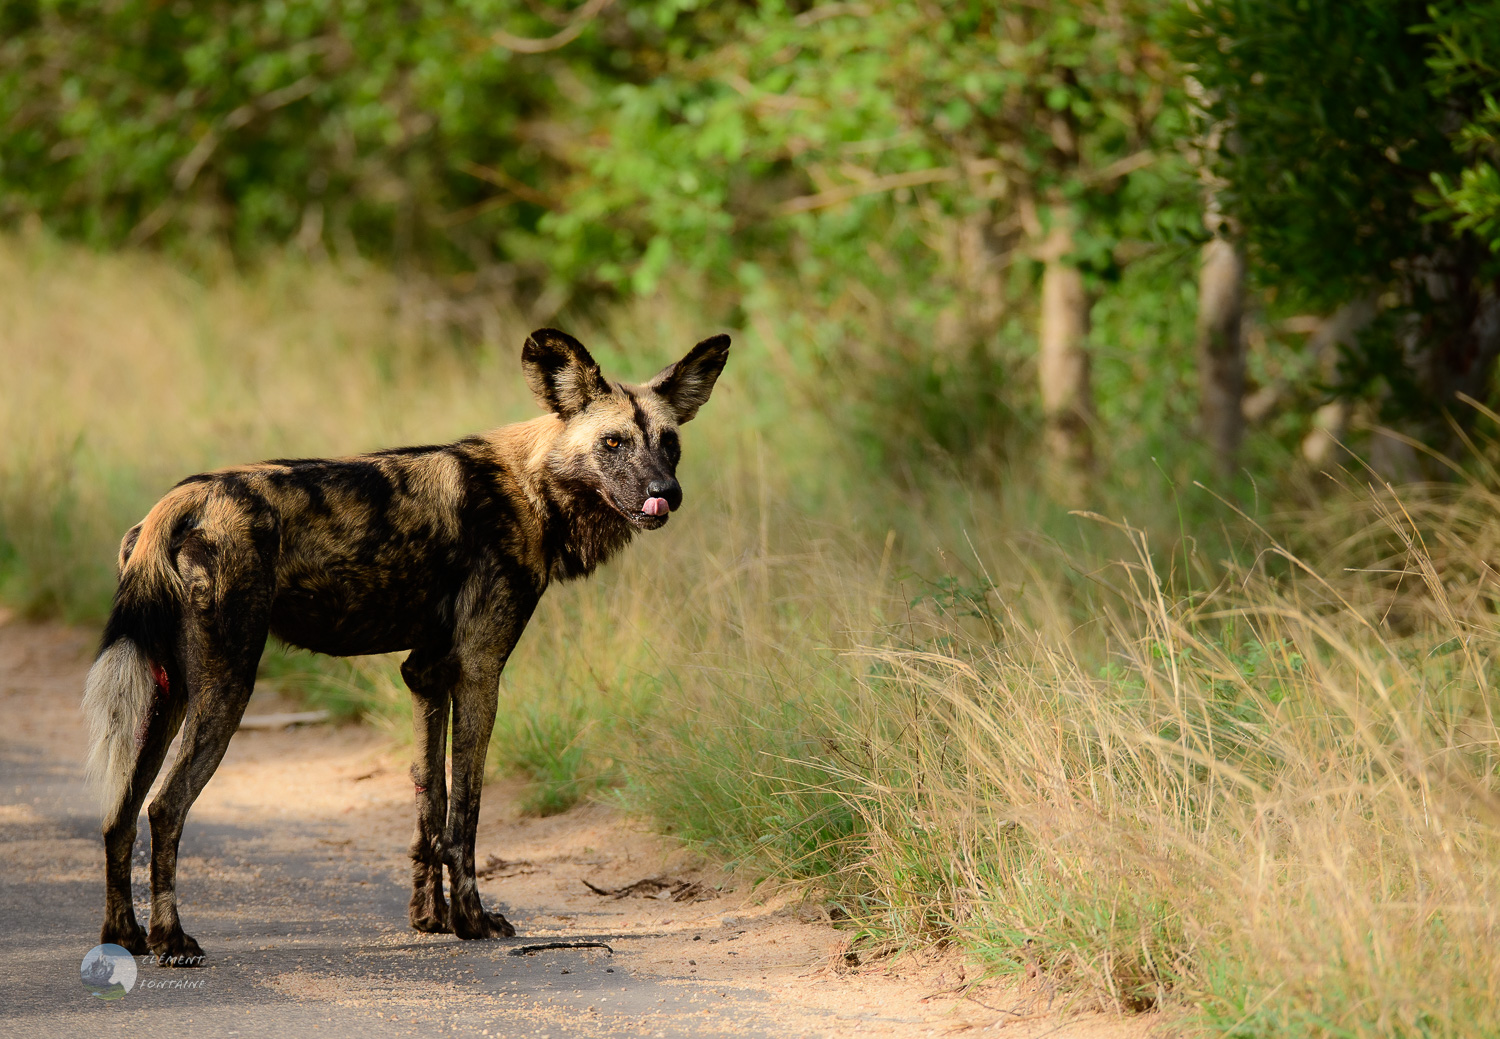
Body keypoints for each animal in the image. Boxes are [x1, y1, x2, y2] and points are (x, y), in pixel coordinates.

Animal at [85, 326, 729, 965]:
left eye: (669, 442)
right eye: (613, 442)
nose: (665, 492)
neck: (530, 486)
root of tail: (181, 501)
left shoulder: (425, 674)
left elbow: (431, 805)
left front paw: (429, 918)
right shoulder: (479, 670)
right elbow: (465, 812)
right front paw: (472, 921)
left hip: (168, 696)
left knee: (119, 814)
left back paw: (124, 937)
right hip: (227, 684)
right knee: (165, 806)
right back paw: (172, 939)